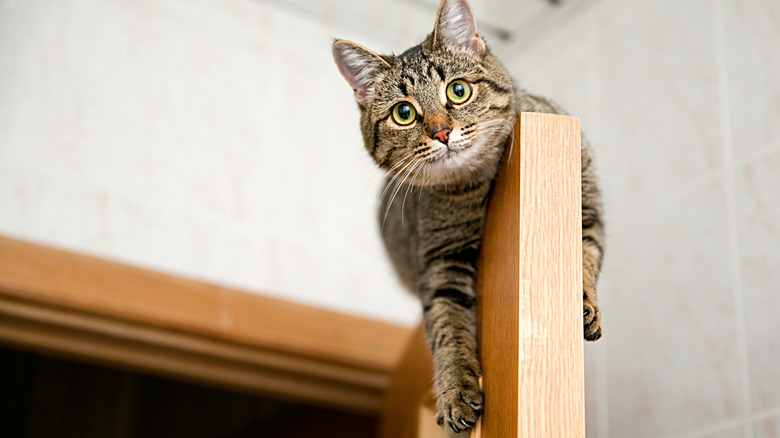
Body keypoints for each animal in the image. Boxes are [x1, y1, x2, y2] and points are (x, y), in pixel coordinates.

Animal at [330, 0, 604, 432]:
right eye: (404, 113)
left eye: (458, 91)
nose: (442, 132)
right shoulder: (442, 260)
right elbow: (448, 327)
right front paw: (456, 389)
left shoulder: (587, 203)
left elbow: (585, 255)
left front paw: (583, 303)